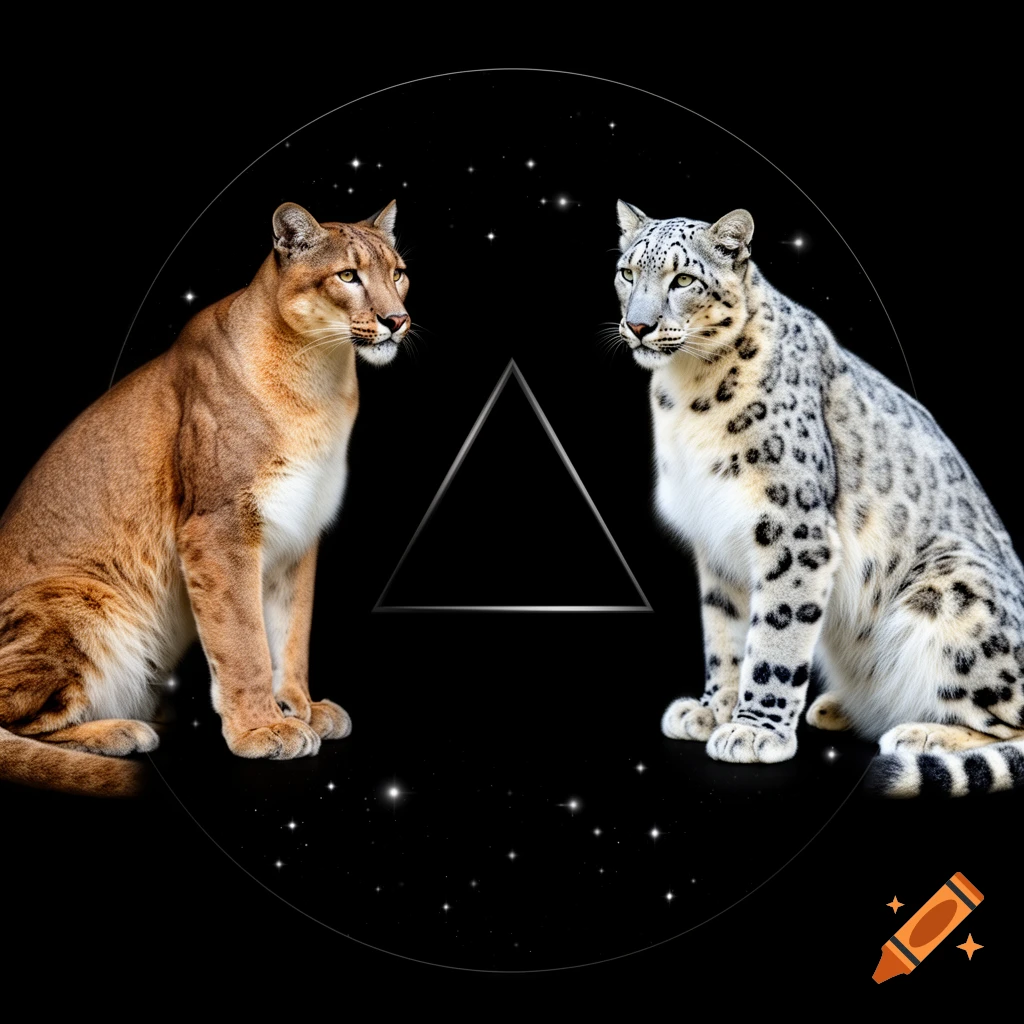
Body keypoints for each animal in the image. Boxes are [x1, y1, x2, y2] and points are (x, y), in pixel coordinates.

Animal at [0, 200, 409, 796]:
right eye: (348, 276)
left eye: (398, 273)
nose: (396, 319)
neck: (324, 378)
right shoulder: (219, 527)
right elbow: (243, 640)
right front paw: (263, 729)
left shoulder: (297, 533)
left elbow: (291, 632)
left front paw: (301, 708)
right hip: (83, 597)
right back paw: (122, 730)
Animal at [613, 200, 1024, 796]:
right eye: (627, 272)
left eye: (683, 279)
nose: (638, 325)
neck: (685, 394)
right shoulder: (717, 541)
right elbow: (724, 633)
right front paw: (714, 710)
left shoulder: (792, 529)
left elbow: (775, 637)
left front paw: (754, 732)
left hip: (953, 590)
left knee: (1010, 717)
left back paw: (920, 733)